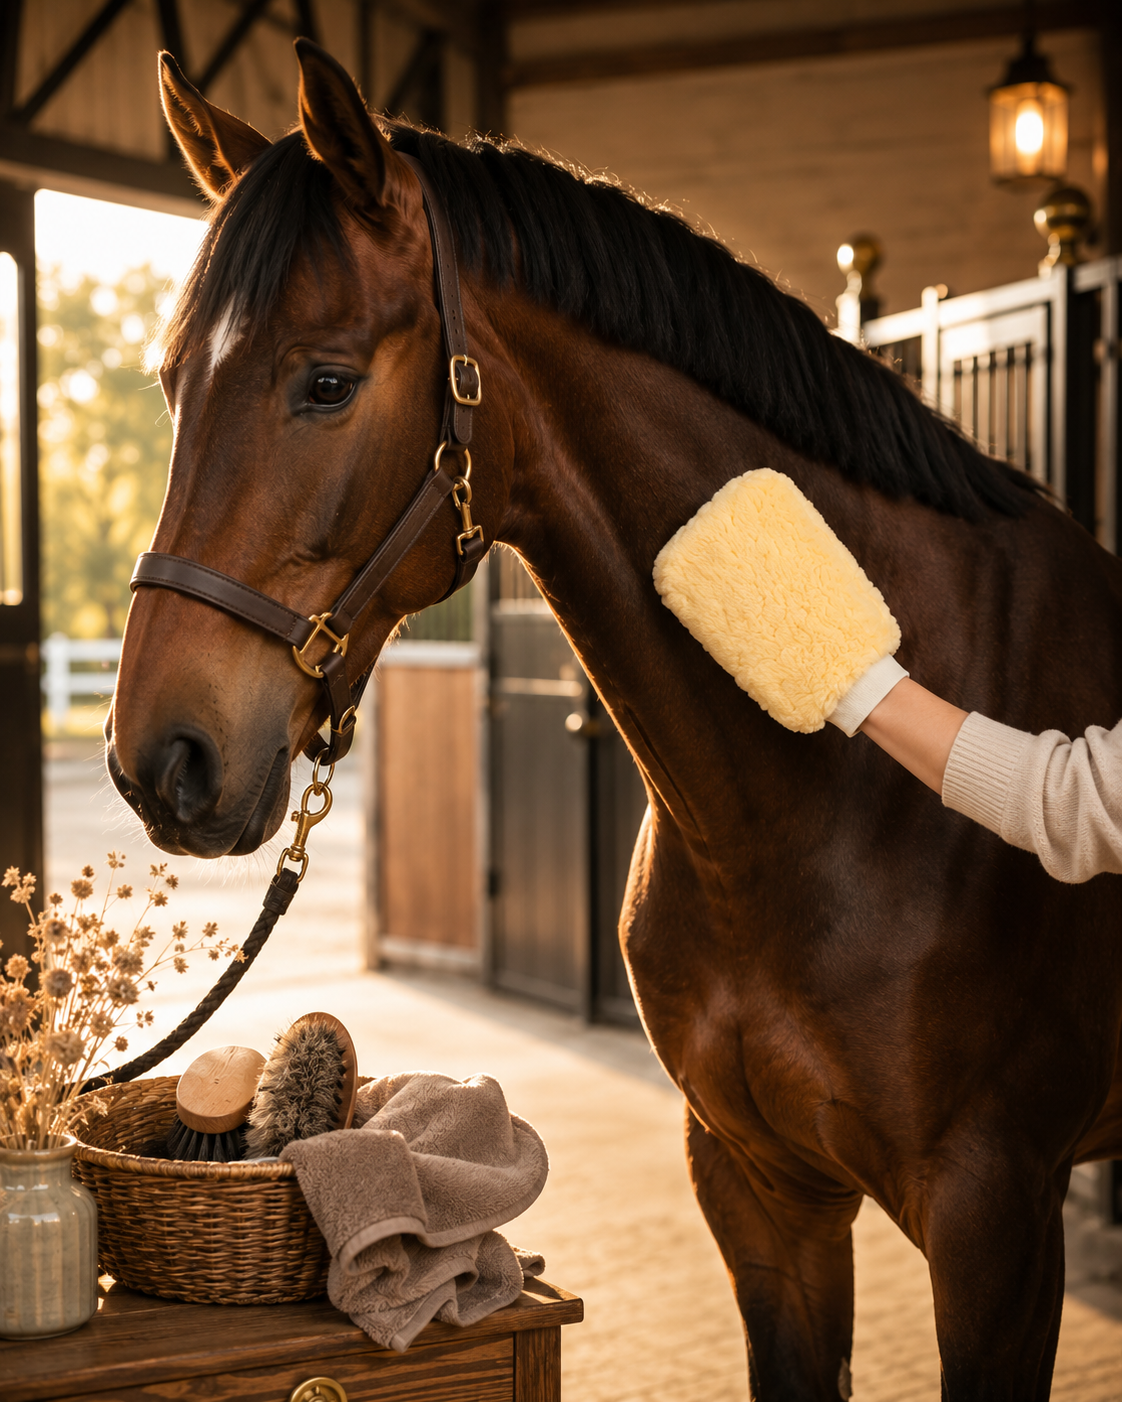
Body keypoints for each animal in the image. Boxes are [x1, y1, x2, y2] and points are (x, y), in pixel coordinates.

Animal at [107, 41, 1122, 1400]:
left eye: (325, 382)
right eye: (172, 383)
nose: (159, 758)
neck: (820, 815)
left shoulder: (995, 1220)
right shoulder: (760, 1192)